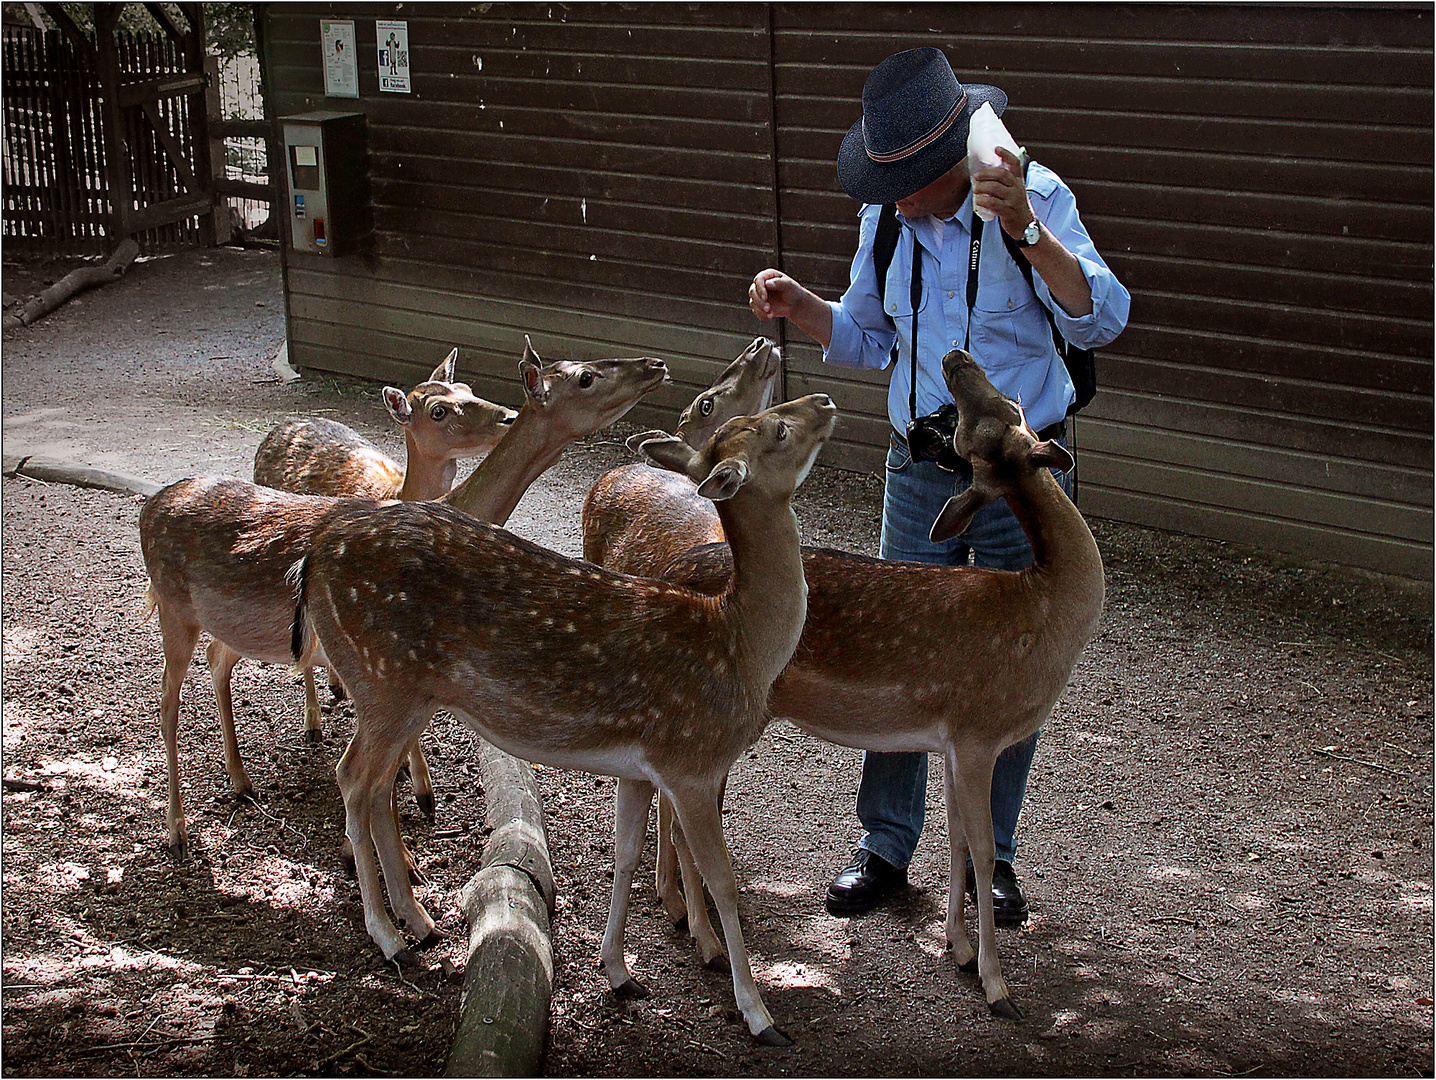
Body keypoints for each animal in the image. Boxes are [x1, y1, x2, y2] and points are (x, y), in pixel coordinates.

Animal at [140, 337, 666, 861]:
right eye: (585, 377)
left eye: (466, 386)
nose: (655, 363)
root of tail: (150, 505)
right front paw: (384, 842)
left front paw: (418, 803)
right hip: (173, 606)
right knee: (168, 698)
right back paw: (178, 830)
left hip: (231, 623)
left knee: (218, 660)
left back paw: (245, 777)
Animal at [292, 393, 838, 1039]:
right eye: (779, 428)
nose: (824, 400)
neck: (741, 646)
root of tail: (312, 558)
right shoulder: (692, 760)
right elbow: (723, 882)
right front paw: (758, 1015)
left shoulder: (641, 767)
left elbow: (625, 853)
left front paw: (620, 974)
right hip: (384, 683)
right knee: (352, 777)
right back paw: (387, 935)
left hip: (401, 695)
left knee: (376, 784)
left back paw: (418, 921)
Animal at [580, 351, 1097, 1022]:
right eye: (980, 424)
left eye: (1002, 407)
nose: (955, 358)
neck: (1043, 609)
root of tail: (666, 572)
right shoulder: (980, 729)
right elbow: (982, 850)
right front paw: (996, 985)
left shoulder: (954, 740)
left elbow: (957, 838)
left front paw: (957, 949)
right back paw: (708, 946)